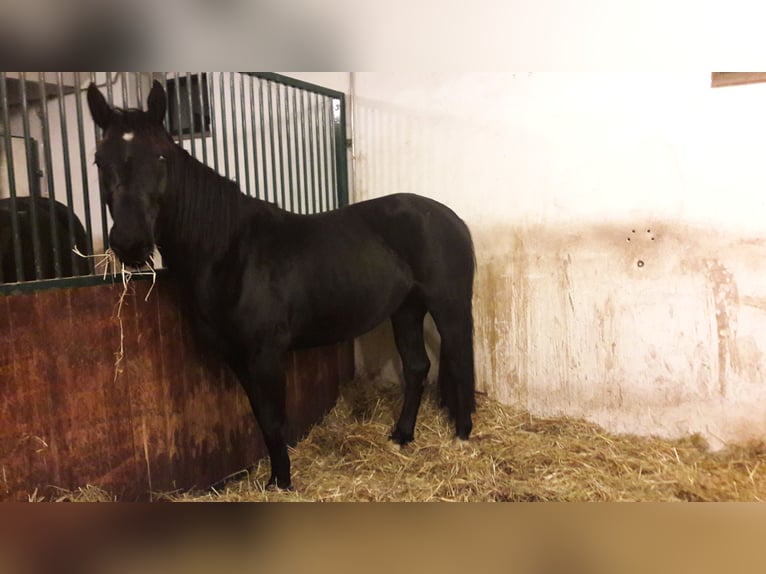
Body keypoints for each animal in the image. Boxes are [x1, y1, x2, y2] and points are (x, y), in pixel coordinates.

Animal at [87, 80, 476, 490]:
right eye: (99, 160)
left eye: (161, 157)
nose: (130, 242)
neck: (230, 251)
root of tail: (451, 218)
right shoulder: (237, 356)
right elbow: (262, 419)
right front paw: (275, 479)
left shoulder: (266, 353)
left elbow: (275, 421)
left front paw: (284, 484)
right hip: (406, 309)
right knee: (417, 367)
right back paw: (401, 436)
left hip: (448, 305)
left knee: (460, 360)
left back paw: (462, 438)